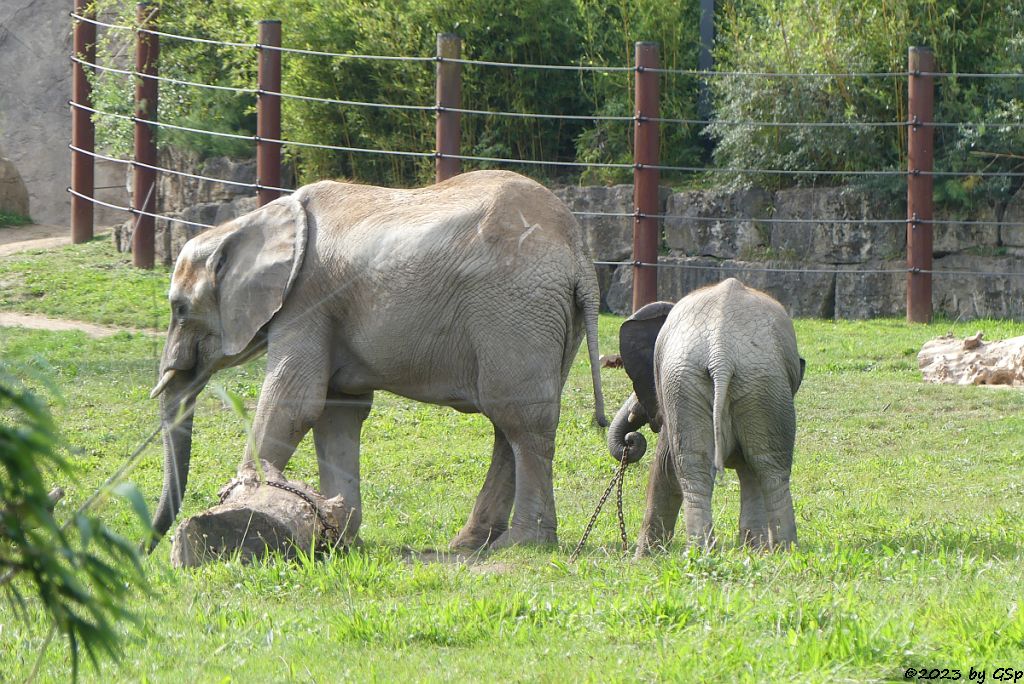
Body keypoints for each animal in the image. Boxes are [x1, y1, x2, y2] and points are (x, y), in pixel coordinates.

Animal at [148, 167, 602, 552]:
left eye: (179, 309)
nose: (146, 548)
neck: (253, 221)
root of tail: (578, 250)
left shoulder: (307, 301)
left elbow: (295, 399)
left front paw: (244, 500)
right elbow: (337, 413)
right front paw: (339, 535)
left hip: (516, 310)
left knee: (521, 422)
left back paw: (521, 545)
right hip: (552, 321)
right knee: (509, 425)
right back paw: (470, 544)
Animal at [602, 280, 802, 552]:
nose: (630, 440)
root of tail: (721, 353)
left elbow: (665, 464)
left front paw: (641, 557)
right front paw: (754, 550)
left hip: (734, 382)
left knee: (703, 468)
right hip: (748, 383)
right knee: (764, 465)